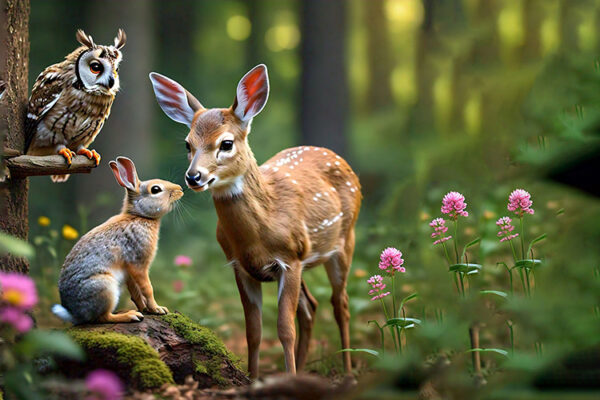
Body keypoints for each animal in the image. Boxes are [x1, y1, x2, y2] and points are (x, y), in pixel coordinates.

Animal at [51, 156, 183, 324]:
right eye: (155, 189)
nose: (180, 188)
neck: (140, 216)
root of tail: (74, 314)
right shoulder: (138, 264)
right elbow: (147, 288)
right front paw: (158, 309)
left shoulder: (129, 272)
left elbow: (135, 292)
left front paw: (145, 309)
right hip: (105, 287)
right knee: (103, 317)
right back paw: (130, 316)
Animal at [149, 65, 360, 378]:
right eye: (188, 144)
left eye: (226, 143)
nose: (193, 177)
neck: (260, 232)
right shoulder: (241, 266)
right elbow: (254, 331)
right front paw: (255, 379)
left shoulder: (290, 259)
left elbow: (284, 330)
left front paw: (288, 378)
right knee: (310, 307)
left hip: (344, 241)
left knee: (340, 304)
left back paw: (346, 370)